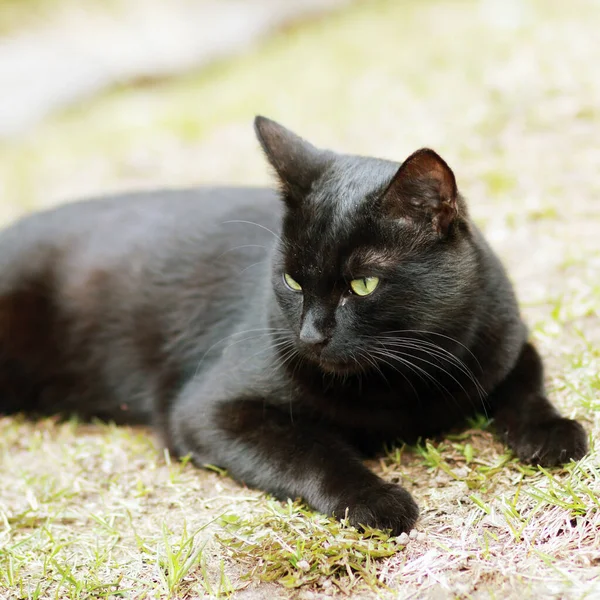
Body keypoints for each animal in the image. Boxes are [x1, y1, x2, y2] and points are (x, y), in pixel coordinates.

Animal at [0, 117, 584, 536]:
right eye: (290, 280)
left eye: (362, 285)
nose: (310, 336)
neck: (403, 384)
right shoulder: (208, 410)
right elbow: (311, 450)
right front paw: (374, 500)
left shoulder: (506, 343)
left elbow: (526, 388)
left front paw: (553, 434)